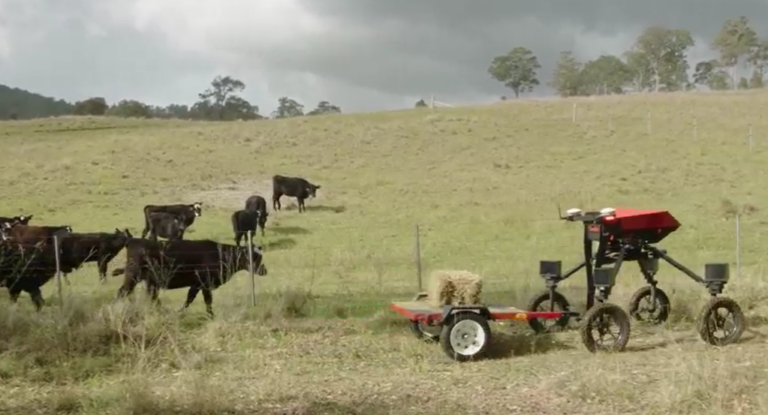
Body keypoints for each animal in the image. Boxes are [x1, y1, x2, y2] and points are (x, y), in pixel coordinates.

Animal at [111, 239, 268, 316]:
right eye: (254, 257)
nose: (264, 270)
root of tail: (132, 241)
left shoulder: (197, 284)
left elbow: (189, 299)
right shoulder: (204, 283)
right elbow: (206, 300)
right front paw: (210, 315)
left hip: (148, 281)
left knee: (151, 297)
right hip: (133, 276)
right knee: (123, 292)